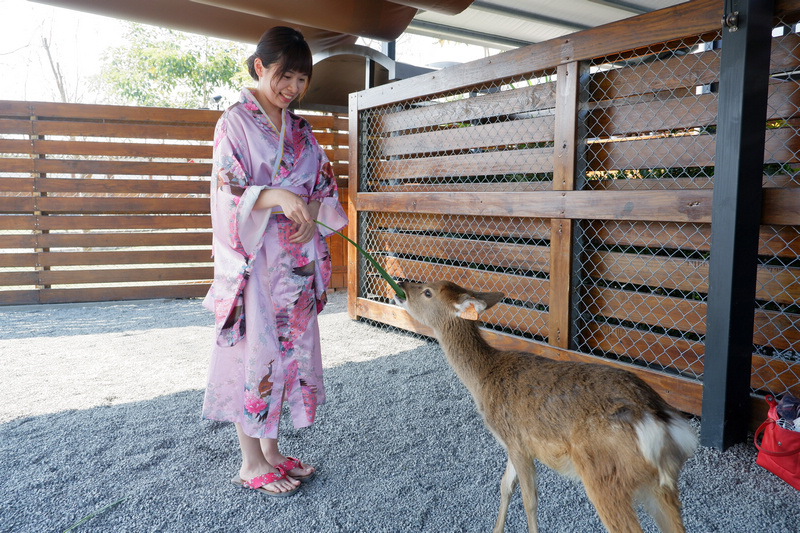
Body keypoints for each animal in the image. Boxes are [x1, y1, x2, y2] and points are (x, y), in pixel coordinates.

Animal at [396, 280, 696, 528]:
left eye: (427, 291)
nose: (402, 284)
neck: (482, 381)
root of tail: (661, 421)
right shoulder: (513, 443)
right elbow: (505, 486)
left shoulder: (517, 441)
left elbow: (530, 501)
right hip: (660, 486)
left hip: (605, 477)